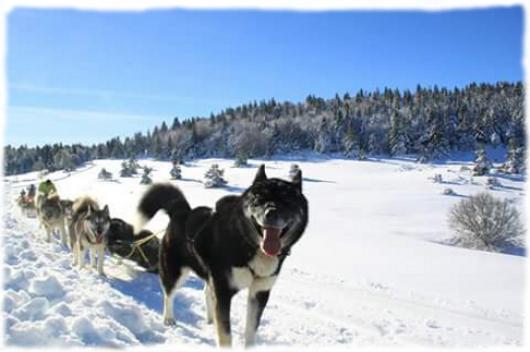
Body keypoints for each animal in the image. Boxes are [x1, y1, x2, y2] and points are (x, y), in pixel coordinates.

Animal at [136, 165, 308, 346]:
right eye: (258, 198)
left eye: (287, 200)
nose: (271, 213)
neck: (248, 244)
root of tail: (182, 212)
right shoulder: (224, 291)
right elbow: (225, 334)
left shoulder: (259, 292)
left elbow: (250, 330)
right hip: (175, 272)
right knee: (169, 295)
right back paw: (169, 319)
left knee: (207, 292)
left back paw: (211, 320)